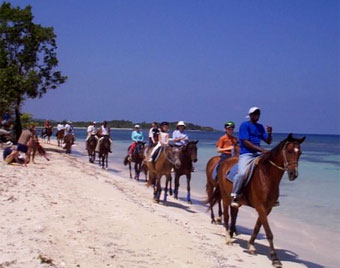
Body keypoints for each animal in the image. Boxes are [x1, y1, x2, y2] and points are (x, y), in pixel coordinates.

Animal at [209, 133, 306, 266]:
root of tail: (224, 162)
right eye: (289, 151)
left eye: (300, 153)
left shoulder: (267, 209)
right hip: (225, 197)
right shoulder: (261, 207)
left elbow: (257, 227)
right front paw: (275, 258)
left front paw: (251, 246)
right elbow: (269, 233)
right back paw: (228, 238)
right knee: (227, 216)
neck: (266, 176)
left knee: (233, 213)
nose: (293, 174)